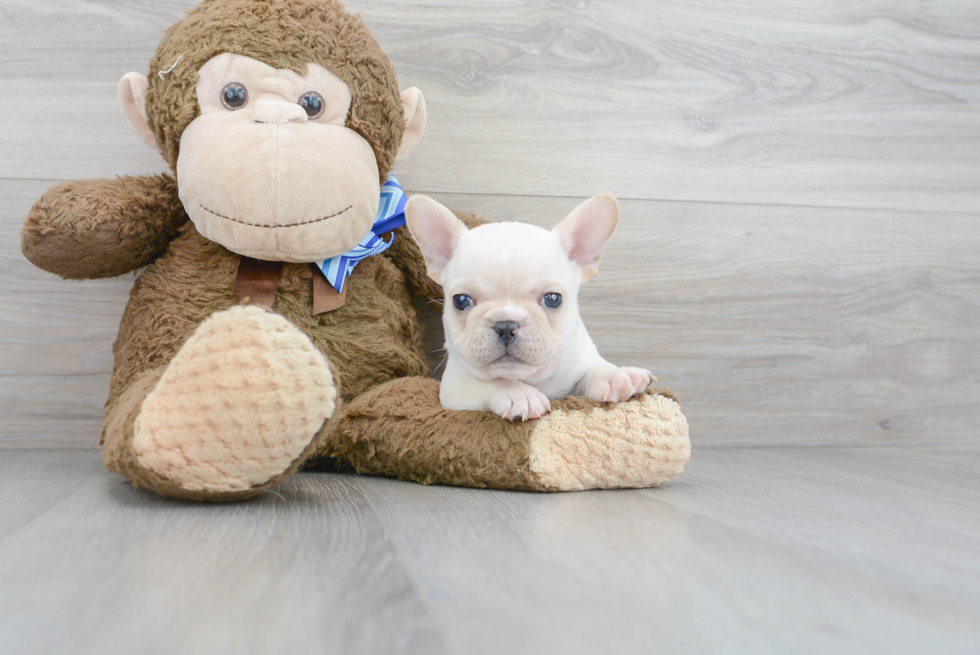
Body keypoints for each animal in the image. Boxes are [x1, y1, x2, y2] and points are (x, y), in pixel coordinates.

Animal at [402, 193, 656, 420]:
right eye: (461, 301)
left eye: (553, 299)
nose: (505, 325)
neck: (534, 378)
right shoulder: (455, 385)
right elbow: (494, 382)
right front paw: (519, 395)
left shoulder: (580, 360)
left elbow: (594, 368)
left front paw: (616, 376)